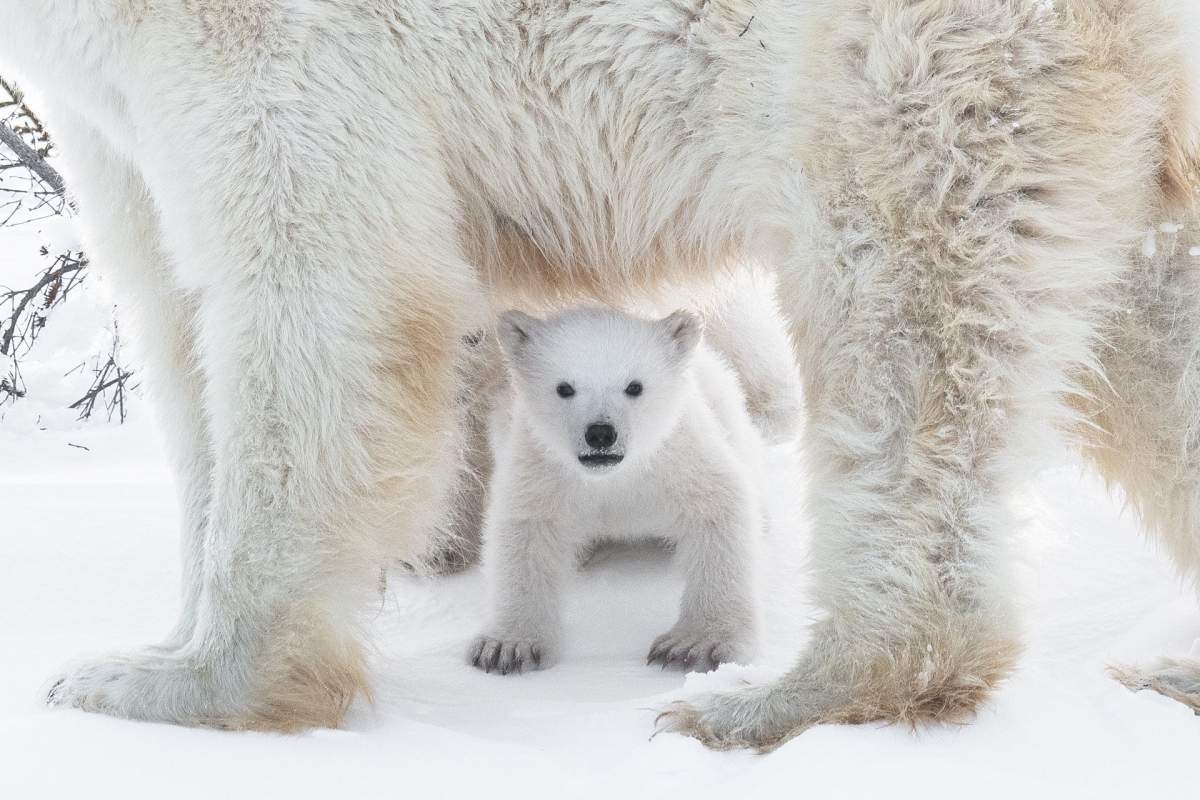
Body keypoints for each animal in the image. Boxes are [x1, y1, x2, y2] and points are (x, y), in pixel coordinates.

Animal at [468, 307, 763, 675]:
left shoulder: (678, 458)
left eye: (634, 386)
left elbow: (719, 510)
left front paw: (695, 645)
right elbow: (525, 534)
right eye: (564, 388)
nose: (600, 434)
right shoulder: (540, 468)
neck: (611, 479)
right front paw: (507, 647)